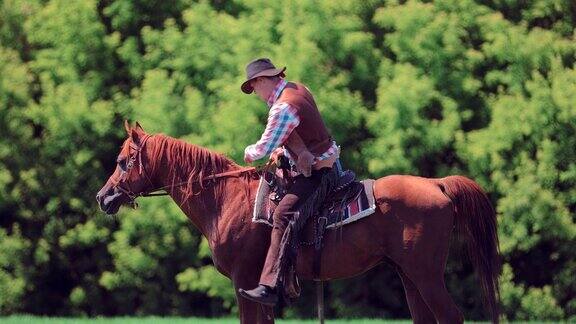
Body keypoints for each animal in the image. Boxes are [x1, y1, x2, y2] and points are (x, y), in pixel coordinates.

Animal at [95, 122, 500, 324]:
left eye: (122, 161)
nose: (103, 197)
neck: (225, 199)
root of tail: (437, 184)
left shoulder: (244, 282)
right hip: (409, 276)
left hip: (426, 275)